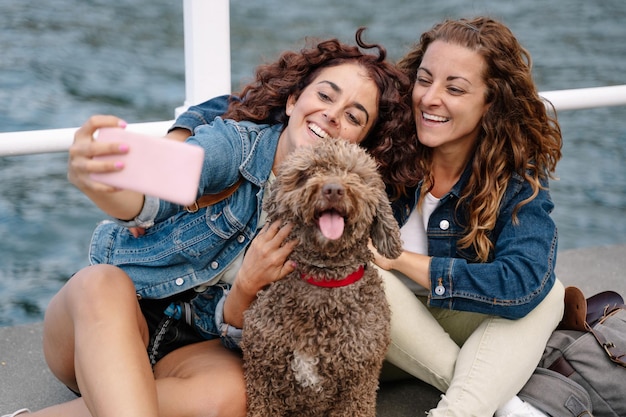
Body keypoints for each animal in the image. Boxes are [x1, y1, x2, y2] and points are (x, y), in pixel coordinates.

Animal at [239, 138, 400, 414]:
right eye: (305, 175)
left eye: (355, 175)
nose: (333, 189)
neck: (324, 280)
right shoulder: (263, 375)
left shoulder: (359, 384)